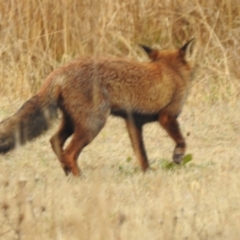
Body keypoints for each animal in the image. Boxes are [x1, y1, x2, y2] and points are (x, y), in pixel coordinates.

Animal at [0, 39, 197, 176]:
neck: (171, 70)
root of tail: (59, 71)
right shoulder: (167, 116)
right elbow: (181, 140)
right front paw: (178, 155)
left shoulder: (133, 122)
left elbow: (142, 155)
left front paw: (147, 174)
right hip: (93, 124)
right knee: (69, 153)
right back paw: (79, 177)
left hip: (73, 122)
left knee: (55, 142)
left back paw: (67, 172)